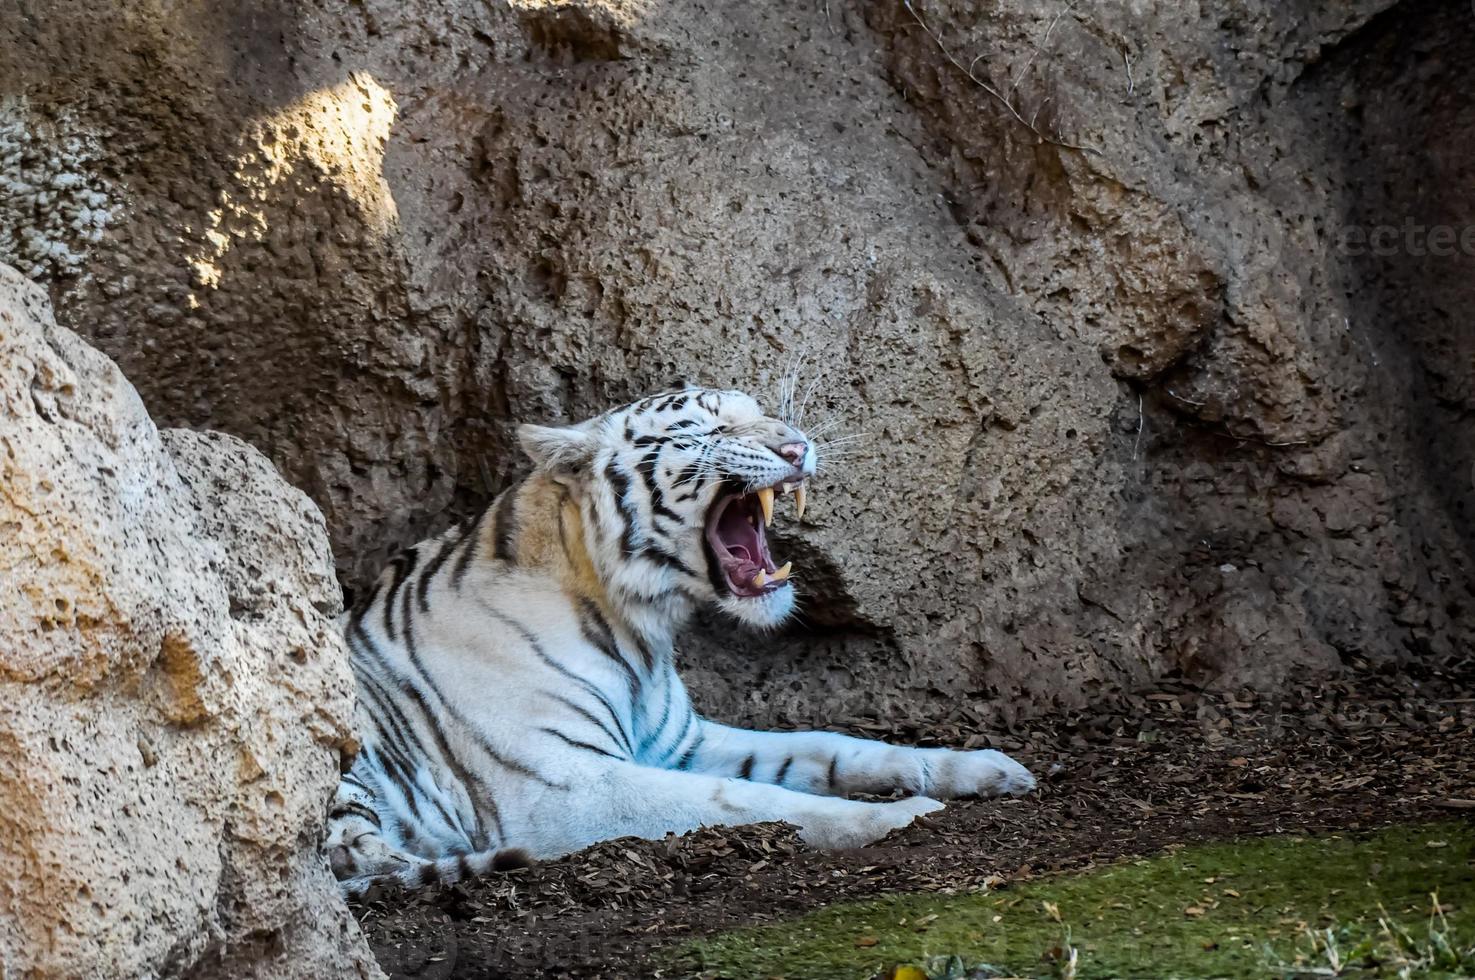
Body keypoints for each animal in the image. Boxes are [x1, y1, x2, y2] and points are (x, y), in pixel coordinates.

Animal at [327, 389, 1032, 897]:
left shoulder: (678, 742)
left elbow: (828, 747)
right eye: (705, 429)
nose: (798, 444)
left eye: (765, 412)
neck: (633, 624)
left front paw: (978, 768)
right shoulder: (568, 787)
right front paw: (904, 815)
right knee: (356, 865)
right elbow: (752, 801)